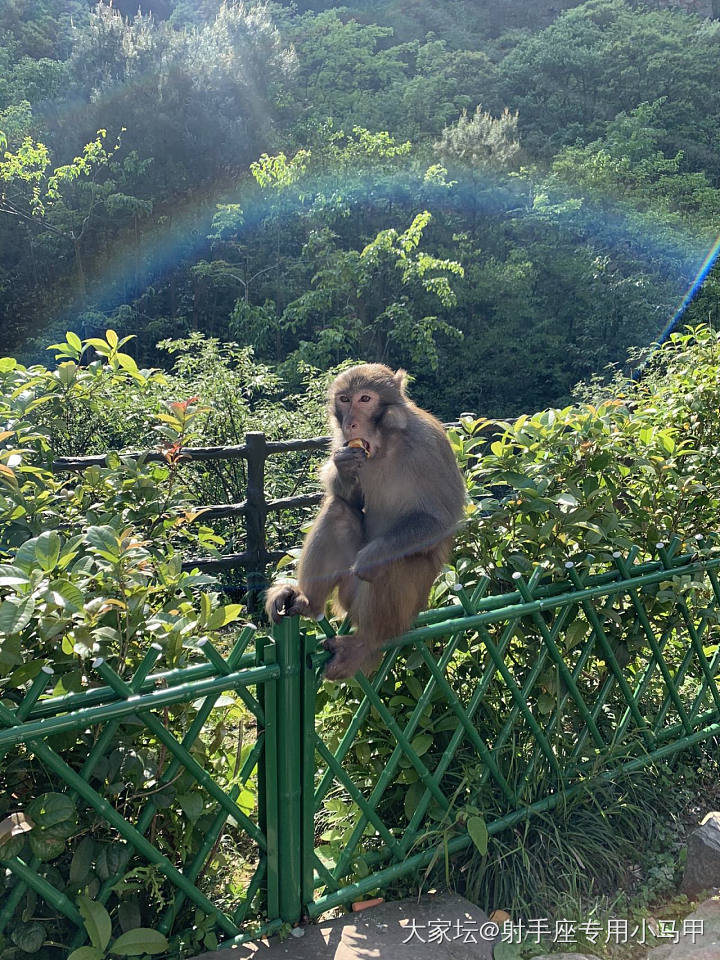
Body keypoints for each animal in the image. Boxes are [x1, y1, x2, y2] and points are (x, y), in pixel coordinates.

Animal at [264, 362, 466, 684]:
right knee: (339, 512)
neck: (388, 442)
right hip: (347, 593)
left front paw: (372, 556)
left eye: (365, 399)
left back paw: (365, 642)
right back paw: (308, 603)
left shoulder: (429, 443)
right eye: (345, 400)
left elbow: (442, 518)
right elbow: (348, 499)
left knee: (391, 565)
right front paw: (344, 468)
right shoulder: (344, 444)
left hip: (408, 604)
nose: (351, 425)